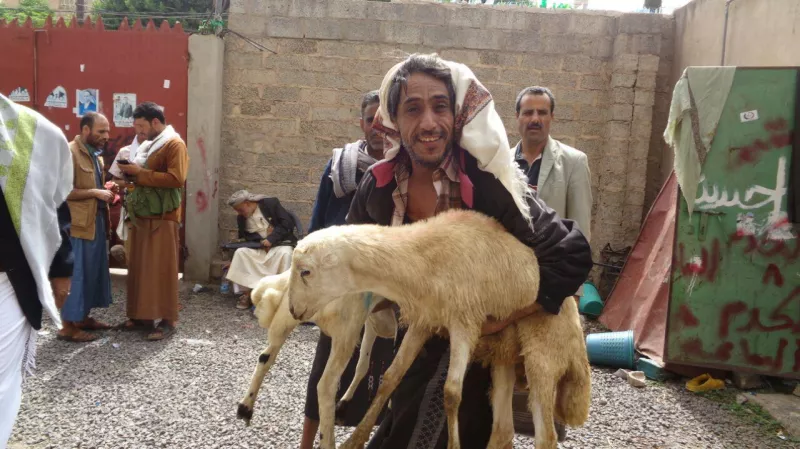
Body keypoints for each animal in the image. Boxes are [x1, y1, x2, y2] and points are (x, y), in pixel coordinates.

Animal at [236, 270, 397, 449]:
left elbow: (364, 364)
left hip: (287, 317)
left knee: (265, 357)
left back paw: (245, 407)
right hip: (346, 330)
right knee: (326, 385)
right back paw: (328, 441)